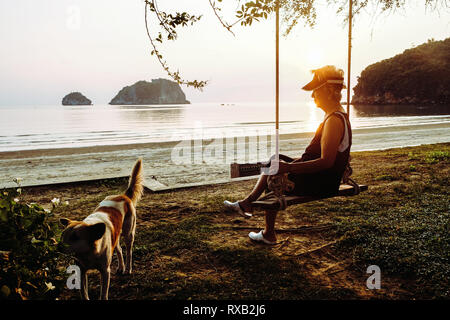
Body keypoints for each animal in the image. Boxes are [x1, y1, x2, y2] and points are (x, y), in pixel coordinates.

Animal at [59, 159, 144, 302]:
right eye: (62, 236)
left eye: (75, 237)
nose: (58, 247)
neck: (89, 252)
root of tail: (123, 195)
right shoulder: (82, 271)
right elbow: (84, 293)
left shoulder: (105, 272)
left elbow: (103, 294)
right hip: (115, 237)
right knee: (119, 249)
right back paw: (121, 267)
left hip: (129, 233)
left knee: (128, 251)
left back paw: (127, 268)